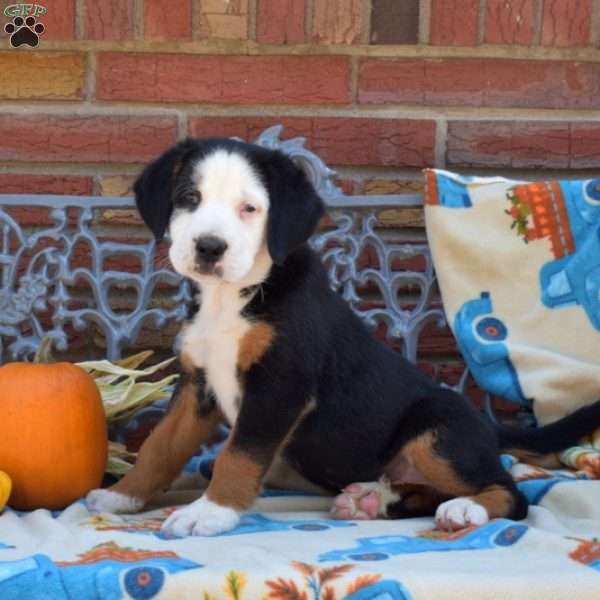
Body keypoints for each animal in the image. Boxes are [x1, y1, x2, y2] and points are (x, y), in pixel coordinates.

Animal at [86, 138, 600, 536]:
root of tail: (487, 426)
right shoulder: (199, 385)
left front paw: (209, 514)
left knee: (512, 494)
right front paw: (122, 496)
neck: (233, 297)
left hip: (435, 432)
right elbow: (160, 447)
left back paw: (465, 508)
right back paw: (373, 500)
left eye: (249, 208)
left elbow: (237, 455)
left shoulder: (279, 387)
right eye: (189, 196)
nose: (210, 247)